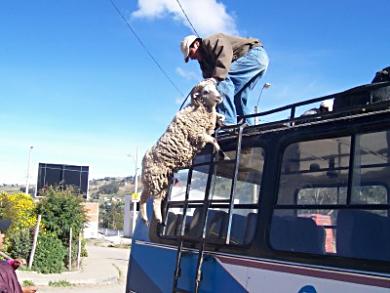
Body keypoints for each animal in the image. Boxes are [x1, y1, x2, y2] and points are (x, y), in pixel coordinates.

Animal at [140, 78, 225, 224]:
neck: (200, 110)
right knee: (152, 199)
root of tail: (144, 159)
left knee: (146, 198)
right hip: (156, 178)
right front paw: (219, 151)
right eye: (205, 91)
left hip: (157, 179)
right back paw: (155, 218)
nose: (219, 97)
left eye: (215, 88)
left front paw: (221, 118)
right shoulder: (198, 134)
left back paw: (149, 219)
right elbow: (213, 140)